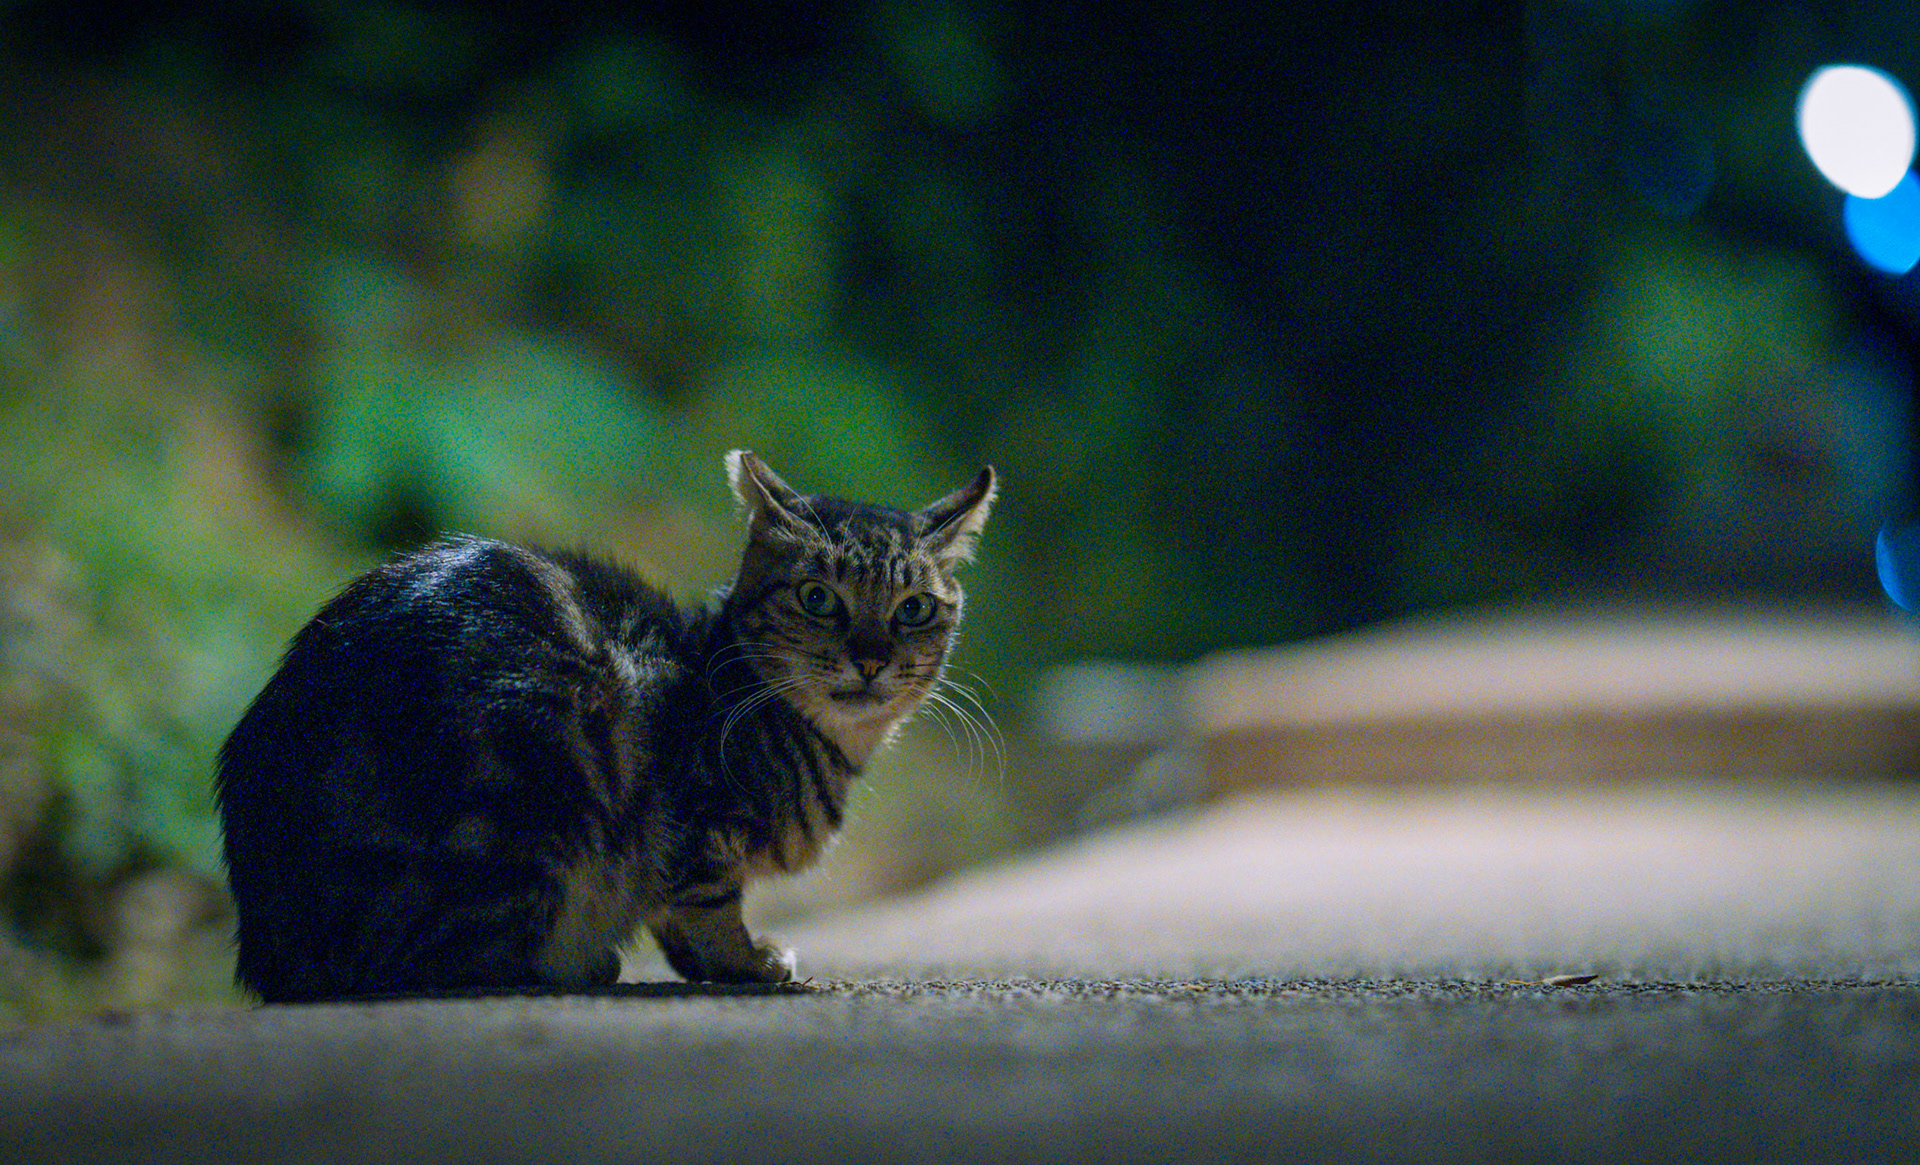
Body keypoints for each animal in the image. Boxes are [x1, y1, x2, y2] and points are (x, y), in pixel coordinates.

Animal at [214, 451, 995, 1002]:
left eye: (914, 609)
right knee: (429, 959)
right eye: (818, 598)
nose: (871, 658)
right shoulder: (697, 821)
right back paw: (571, 962)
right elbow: (710, 901)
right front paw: (744, 961)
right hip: (536, 798)